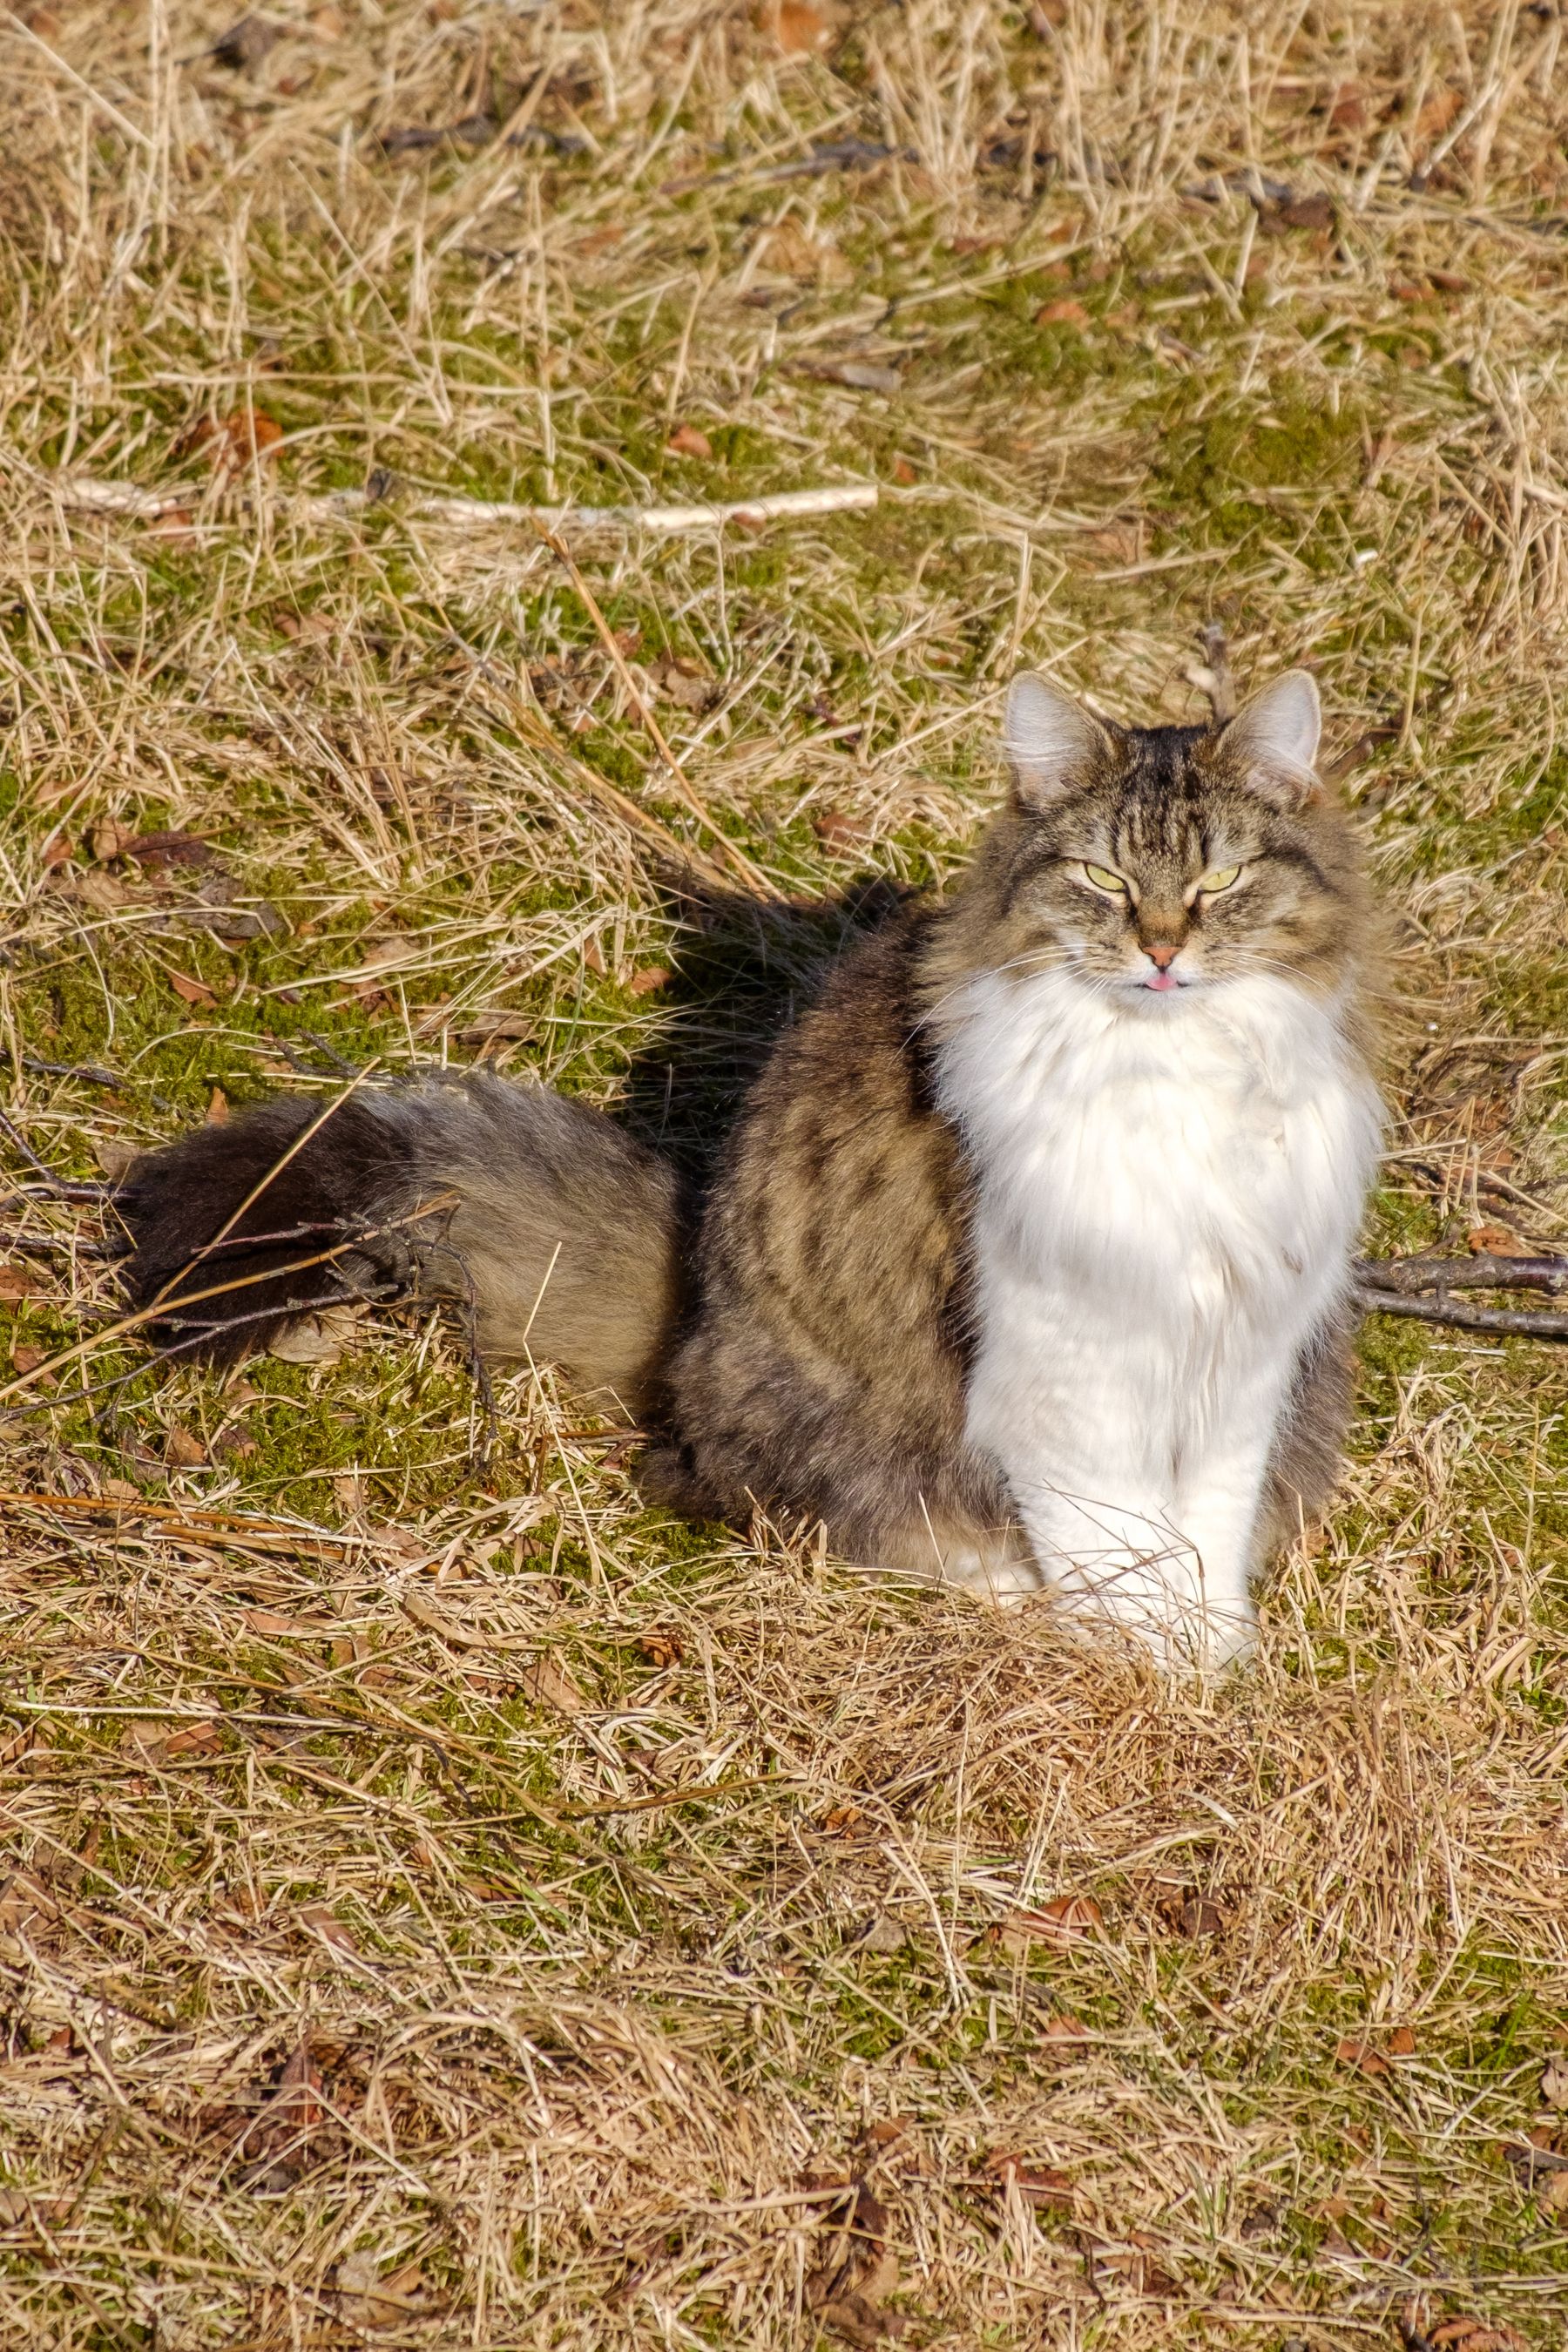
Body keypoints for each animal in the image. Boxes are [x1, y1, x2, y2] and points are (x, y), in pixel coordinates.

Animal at [116, 672, 1382, 1674]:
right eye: (1105, 881)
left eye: (1219, 885)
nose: (1163, 948)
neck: (1177, 1078)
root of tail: (687, 1303)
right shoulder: (1065, 1359)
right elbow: (1113, 1536)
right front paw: (1142, 1660)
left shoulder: (1245, 1352)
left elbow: (1206, 1528)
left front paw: (1211, 1652)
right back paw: (1000, 1589)